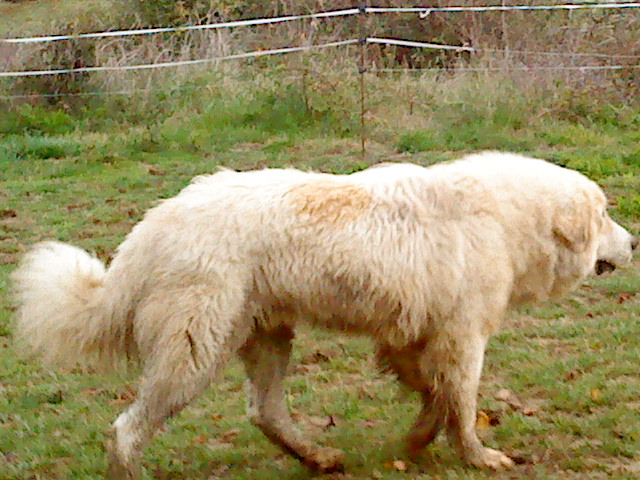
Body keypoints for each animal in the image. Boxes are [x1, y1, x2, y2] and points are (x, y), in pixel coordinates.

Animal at [11, 151, 636, 479]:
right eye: (605, 215)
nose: (633, 243)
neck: (512, 219)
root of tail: (155, 224)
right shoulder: (462, 339)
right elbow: (460, 403)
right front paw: (478, 456)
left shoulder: (413, 337)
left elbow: (433, 395)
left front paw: (415, 442)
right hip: (193, 353)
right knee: (127, 428)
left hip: (266, 337)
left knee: (264, 412)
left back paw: (316, 456)